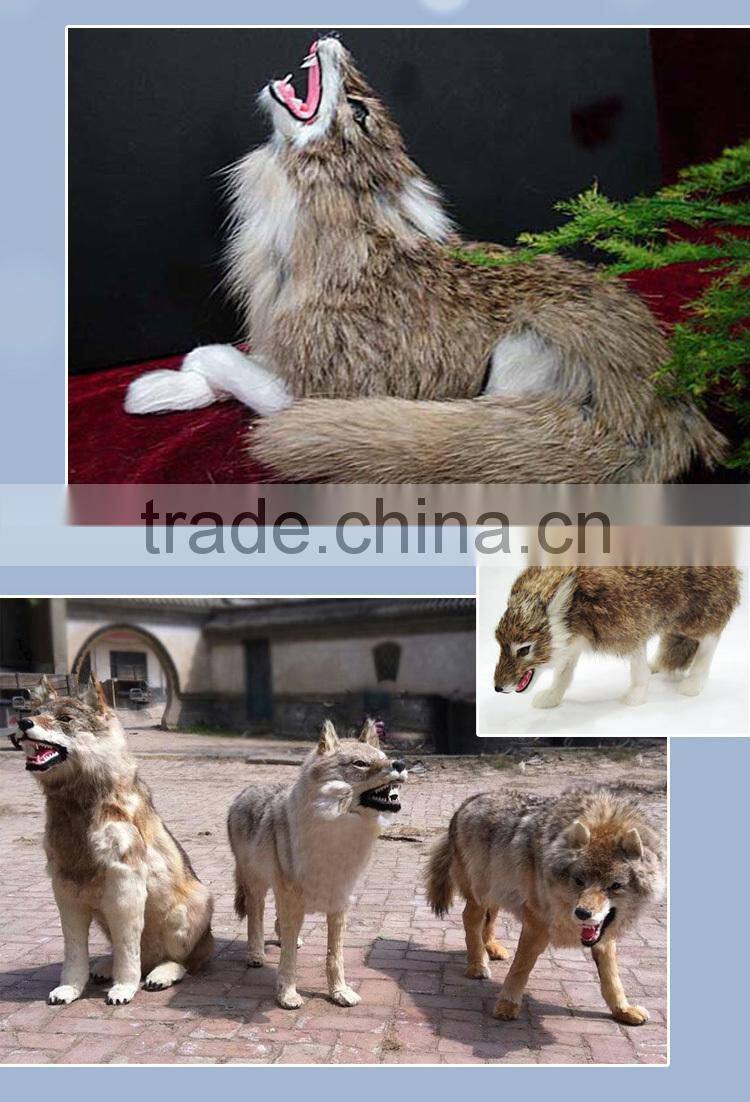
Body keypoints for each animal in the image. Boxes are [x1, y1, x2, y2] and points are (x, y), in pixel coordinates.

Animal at [12, 675, 213, 1006]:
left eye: (65, 719)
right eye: (37, 712)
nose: (22, 722)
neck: (79, 802)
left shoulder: (125, 888)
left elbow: (127, 951)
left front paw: (124, 988)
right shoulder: (66, 891)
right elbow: (75, 953)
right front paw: (69, 988)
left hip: (186, 912)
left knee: (179, 961)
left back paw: (161, 974)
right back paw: (106, 966)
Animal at [124, 34, 725, 484]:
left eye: (359, 111)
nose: (332, 39)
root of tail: (671, 409)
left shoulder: (319, 385)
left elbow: (220, 357)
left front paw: (164, 382)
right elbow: (217, 366)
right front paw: (158, 391)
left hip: (515, 359)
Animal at [227, 718, 406, 1009]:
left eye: (385, 757)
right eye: (360, 764)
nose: (400, 764)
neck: (337, 833)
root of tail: (248, 789)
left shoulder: (339, 904)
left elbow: (335, 957)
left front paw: (340, 992)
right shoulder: (292, 899)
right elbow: (289, 960)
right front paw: (287, 995)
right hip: (256, 886)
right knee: (256, 916)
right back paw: (256, 954)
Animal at [426, 787, 664, 1024]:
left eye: (614, 886)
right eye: (579, 881)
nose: (582, 913)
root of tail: (469, 800)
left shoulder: (602, 934)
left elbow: (611, 976)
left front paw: (622, 1009)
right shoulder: (536, 923)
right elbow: (521, 967)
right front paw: (507, 1004)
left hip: (498, 889)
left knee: (489, 918)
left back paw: (491, 948)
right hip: (480, 892)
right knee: (470, 919)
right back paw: (477, 964)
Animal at [493, 565, 741, 707]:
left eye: (524, 649)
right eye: (499, 642)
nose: (498, 688)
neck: (575, 609)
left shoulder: (631, 629)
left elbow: (638, 671)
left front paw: (635, 698)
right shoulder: (572, 644)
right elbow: (563, 675)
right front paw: (551, 698)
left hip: (697, 615)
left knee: (710, 639)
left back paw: (694, 683)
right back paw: (657, 665)